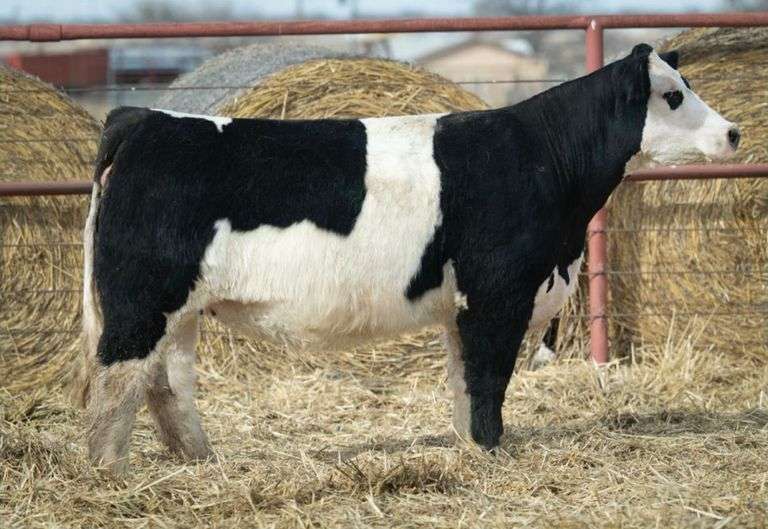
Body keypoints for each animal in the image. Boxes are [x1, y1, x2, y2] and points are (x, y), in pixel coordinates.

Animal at [73, 44, 739, 475]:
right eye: (672, 96)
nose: (733, 132)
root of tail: (146, 118)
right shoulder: (497, 294)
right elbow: (488, 378)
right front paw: (491, 450)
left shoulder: (464, 306)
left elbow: (464, 381)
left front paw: (470, 447)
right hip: (141, 300)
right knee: (117, 380)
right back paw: (109, 472)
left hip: (180, 308)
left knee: (166, 382)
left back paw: (199, 461)